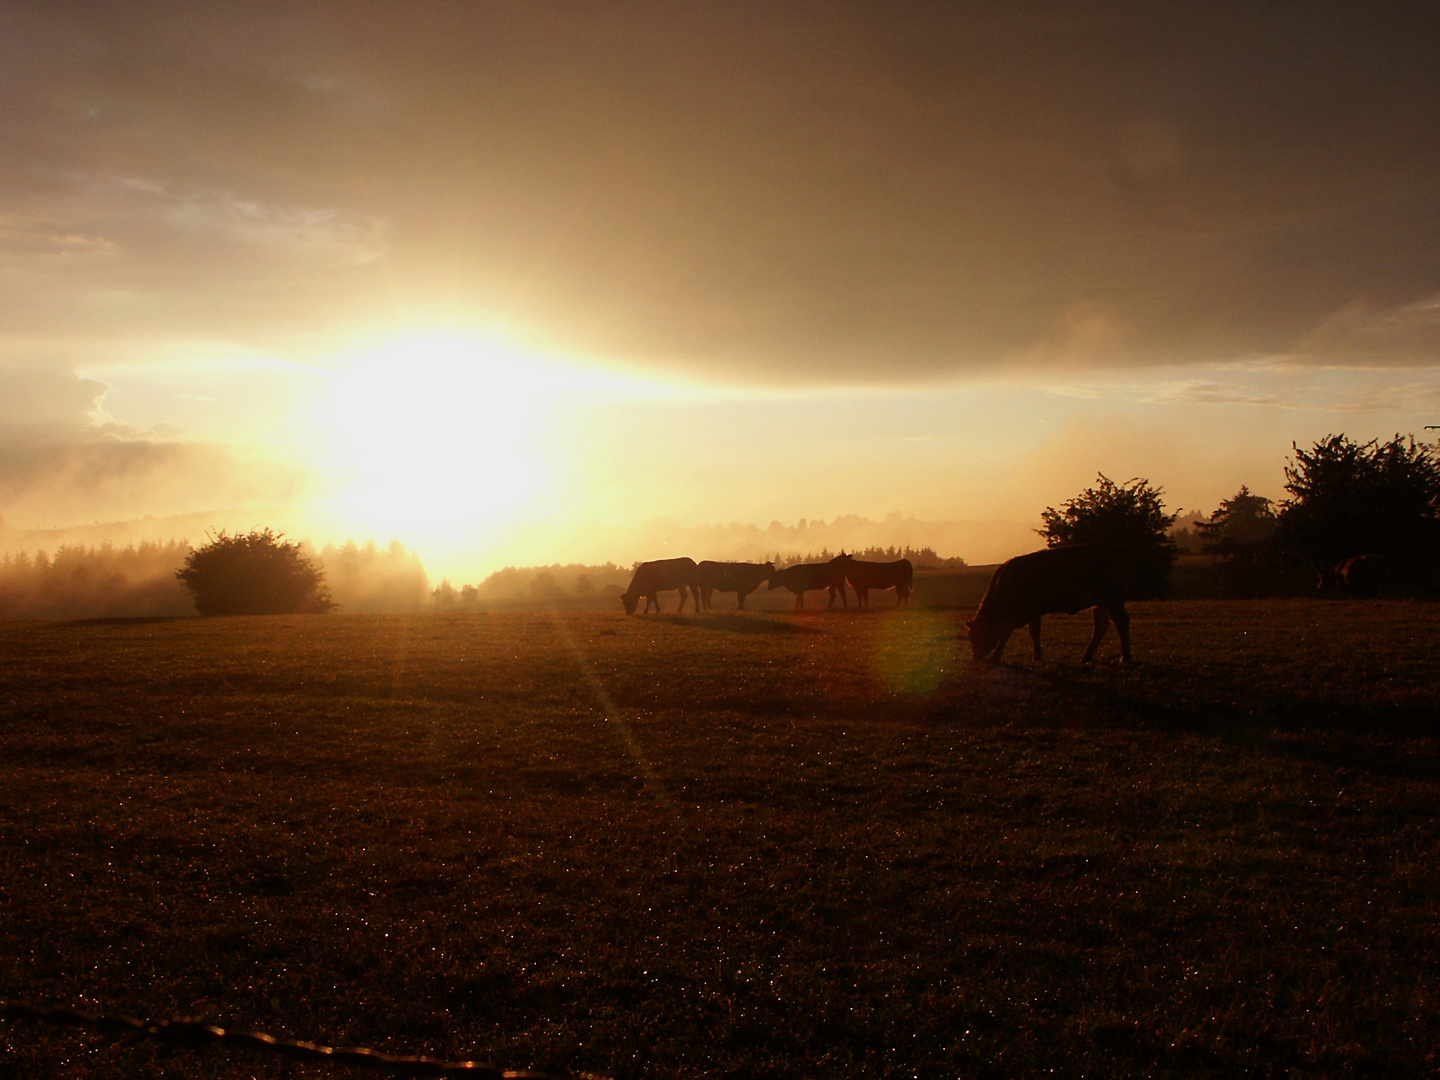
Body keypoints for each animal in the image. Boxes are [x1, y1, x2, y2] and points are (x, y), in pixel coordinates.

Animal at [961, 544, 1128, 665]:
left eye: (976, 636)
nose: (975, 657)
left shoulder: (1016, 615)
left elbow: (1006, 635)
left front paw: (996, 657)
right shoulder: (1032, 612)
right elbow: (1034, 632)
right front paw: (1037, 657)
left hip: (1113, 600)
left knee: (1122, 622)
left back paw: (1124, 658)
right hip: (1101, 603)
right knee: (1101, 626)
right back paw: (1086, 658)